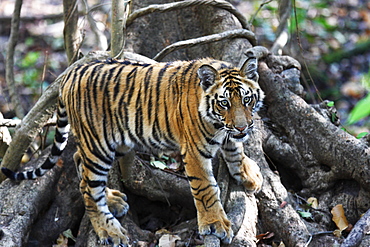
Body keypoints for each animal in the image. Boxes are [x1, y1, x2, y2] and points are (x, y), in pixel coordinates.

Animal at [2, 52, 264, 245]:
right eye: (224, 103)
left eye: (247, 99)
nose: (243, 126)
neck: (219, 124)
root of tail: (71, 72)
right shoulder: (195, 152)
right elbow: (207, 189)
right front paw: (215, 224)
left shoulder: (230, 135)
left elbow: (236, 151)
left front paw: (250, 175)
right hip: (99, 146)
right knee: (89, 189)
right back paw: (110, 231)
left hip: (114, 142)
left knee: (79, 163)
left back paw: (112, 200)